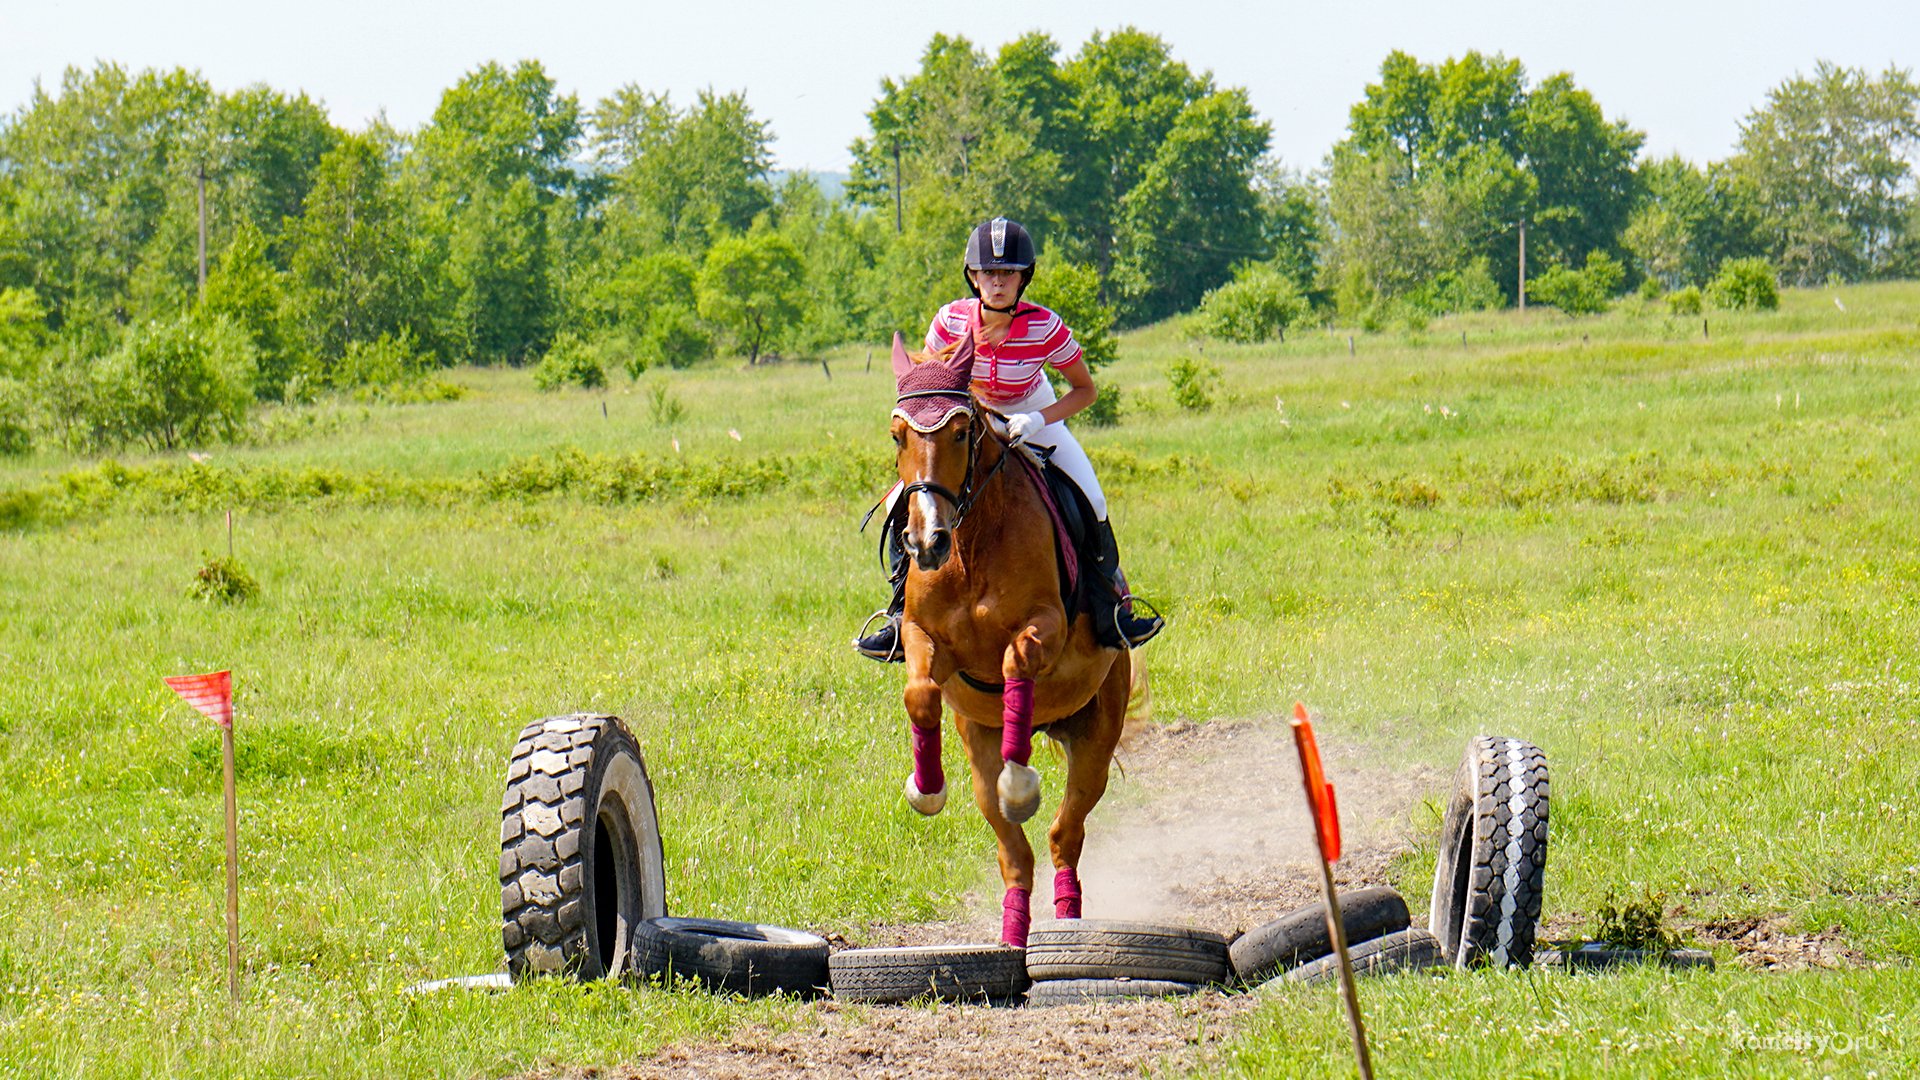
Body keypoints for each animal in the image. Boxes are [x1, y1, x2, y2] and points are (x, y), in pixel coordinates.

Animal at [887, 326, 1136, 941]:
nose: (925, 541)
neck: (971, 544)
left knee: (1064, 834)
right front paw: (926, 789)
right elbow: (920, 692)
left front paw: (1021, 781)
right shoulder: (927, 640)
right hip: (978, 742)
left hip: (1097, 735)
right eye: (898, 435)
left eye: (959, 432)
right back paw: (1013, 928)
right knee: (1014, 851)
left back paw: (1066, 916)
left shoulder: (1045, 626)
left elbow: (1015, 661)